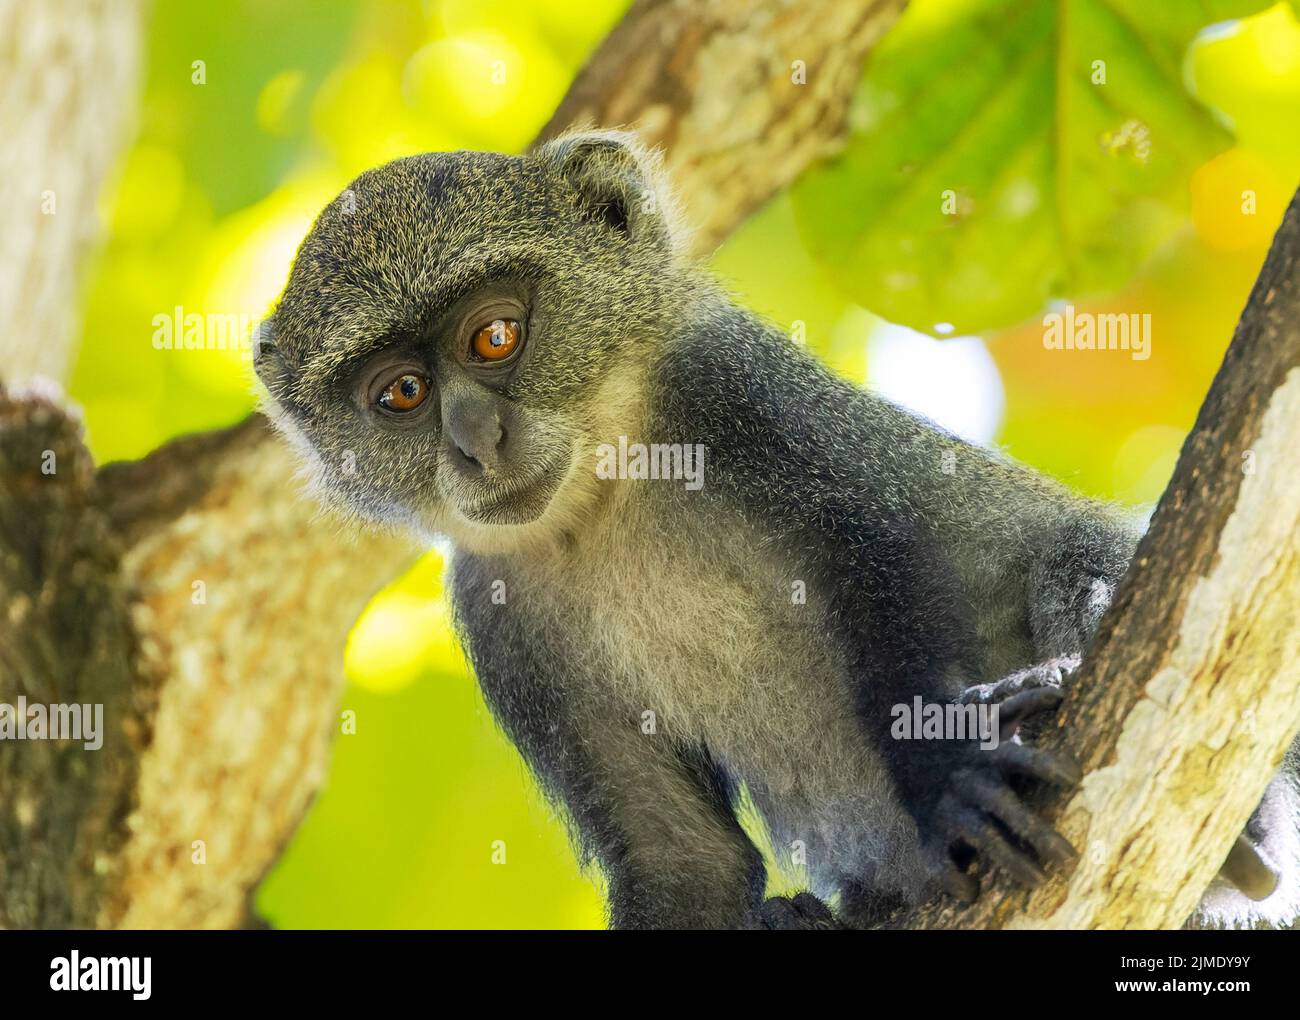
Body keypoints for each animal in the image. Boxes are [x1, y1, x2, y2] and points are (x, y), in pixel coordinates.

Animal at [254, 129, 1300, 930]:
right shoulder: (498, 612)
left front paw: (953, 780)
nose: (475, 441)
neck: (604, 492)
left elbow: (879, 556)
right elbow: (683, 863)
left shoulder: (732, 388)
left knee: (1077, 561)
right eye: (400, 393)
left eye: (495, 337)